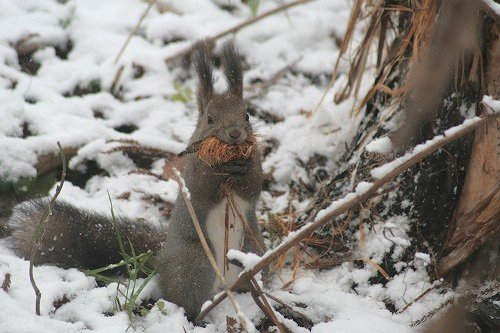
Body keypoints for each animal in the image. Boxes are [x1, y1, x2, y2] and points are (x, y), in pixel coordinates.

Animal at [5, 40, 268, 320]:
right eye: (210, 119)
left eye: (247, 115)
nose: (235, 133)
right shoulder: (192, 173)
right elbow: (201, 189)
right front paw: (217, 167)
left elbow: (253, 187)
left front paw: (244, 168)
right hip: (196, 263)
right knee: (188, 300)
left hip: (253, 249)